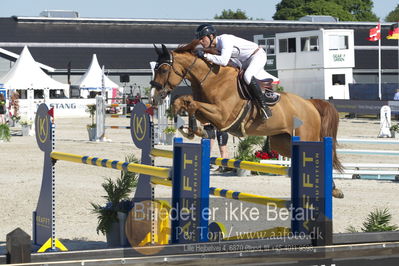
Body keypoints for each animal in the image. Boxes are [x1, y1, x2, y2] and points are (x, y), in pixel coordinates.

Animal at [152, 42, 346, 197]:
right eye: (155, 69)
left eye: (163, 69)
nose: (154, 97)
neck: (213, 79)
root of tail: (310, 104)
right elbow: (185, 102)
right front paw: (193, 129)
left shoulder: (223, 116)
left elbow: (192, 104)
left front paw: (193, 130)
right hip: (281, 143)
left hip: (306, 137)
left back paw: (334, 189)